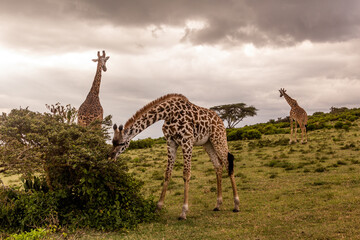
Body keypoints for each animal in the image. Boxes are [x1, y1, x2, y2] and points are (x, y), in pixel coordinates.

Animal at [109, 93, 239, 219]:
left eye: (121, 143)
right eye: (112, 142)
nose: (111, 156)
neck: (168, 113)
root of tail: (220, 120)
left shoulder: (187, 141)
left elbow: (186, 174)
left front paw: (183, 212)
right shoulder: (170, 142)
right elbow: (167, 173)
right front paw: (158, 207)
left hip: (218, 138)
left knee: (228, 163)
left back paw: (236, 205)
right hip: (207, 143)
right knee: (218, 166)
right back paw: (218, 205)